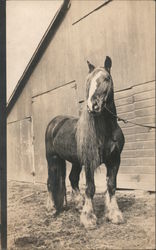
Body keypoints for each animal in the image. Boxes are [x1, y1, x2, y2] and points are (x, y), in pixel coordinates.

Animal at [44, 56, 124, 229]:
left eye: (106, 78)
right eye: (89, 81)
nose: (93, 106)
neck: (106, 131)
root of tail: (54, 123)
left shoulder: (114, 160)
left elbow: (111, 186)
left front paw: (114, 214)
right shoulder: (89, 162)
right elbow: (90, 188)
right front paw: (89, 218)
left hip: (75, 161)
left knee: (72, 178)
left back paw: (79, 204)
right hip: (52, 159)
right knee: (50, 182)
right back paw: (51, 207)